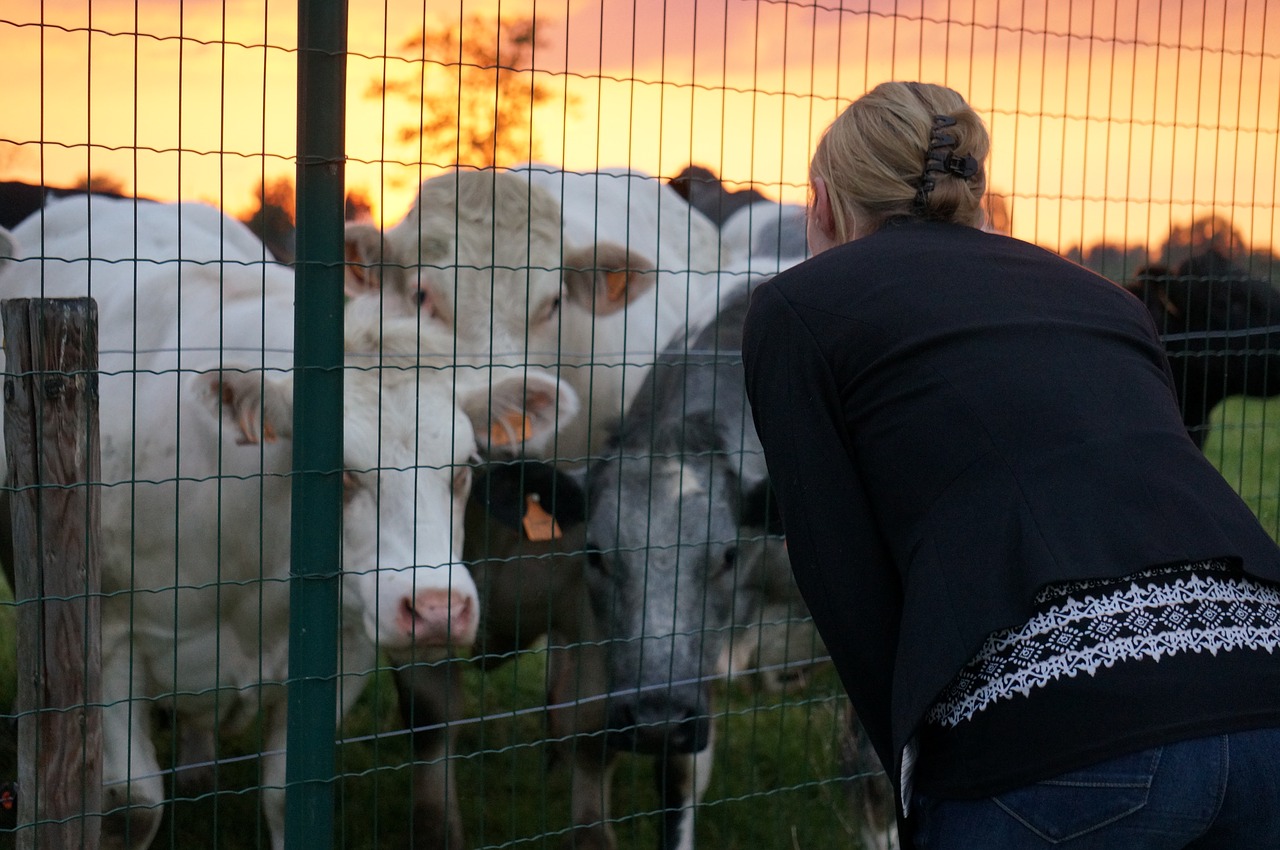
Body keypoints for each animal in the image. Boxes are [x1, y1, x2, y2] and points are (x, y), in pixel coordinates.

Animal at [0, 195, 573, 844]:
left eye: (465, 467)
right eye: (337, 472)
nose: (436, 609)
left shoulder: (346, 649)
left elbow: (284, 795)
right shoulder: (110, 642)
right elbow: (136, 804)